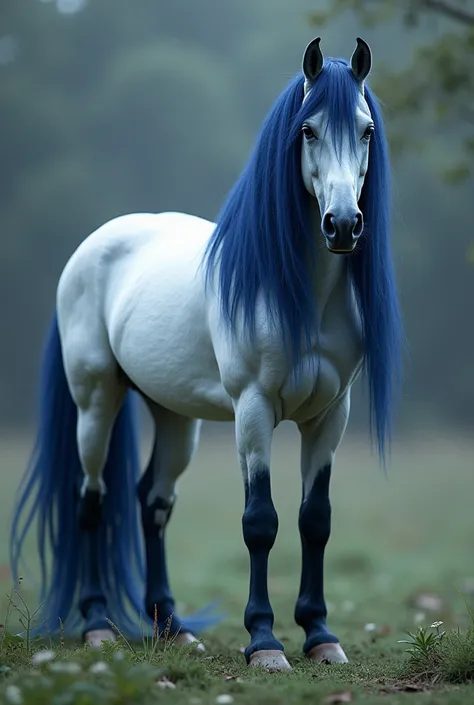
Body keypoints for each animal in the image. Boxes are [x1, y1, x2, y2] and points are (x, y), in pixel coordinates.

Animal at [9, 37, 402, 672]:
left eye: (367, 130)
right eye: (308, 129)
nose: (342, 225)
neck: (303, 293)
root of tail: (93, 246)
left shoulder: (329, 416)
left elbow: (314, 520)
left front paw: (320, 634)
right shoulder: (254, 409)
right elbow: (260, 522)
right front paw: (264, 642)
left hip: (174, 417)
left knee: (153, 502)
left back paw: (172, 628)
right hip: (96, 403)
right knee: (91, 499)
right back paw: (97, 626)